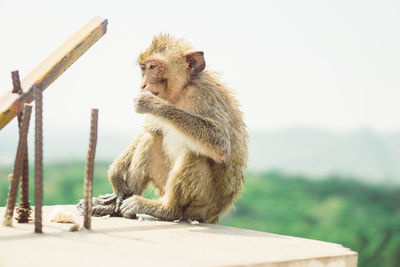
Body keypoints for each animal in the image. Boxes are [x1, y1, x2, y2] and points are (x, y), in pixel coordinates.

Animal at [76, 34, 247, 225]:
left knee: (195, 153)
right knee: (152, 137)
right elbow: (150, 129)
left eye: (153, 67)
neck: (181, 91)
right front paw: (115, 176)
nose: (143, 85)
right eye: (144, 68)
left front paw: (152, 103)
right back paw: (116, 203)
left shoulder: (206, 94)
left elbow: (219, 144)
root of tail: (215, 215)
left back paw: (166, 209)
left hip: (204, 206)